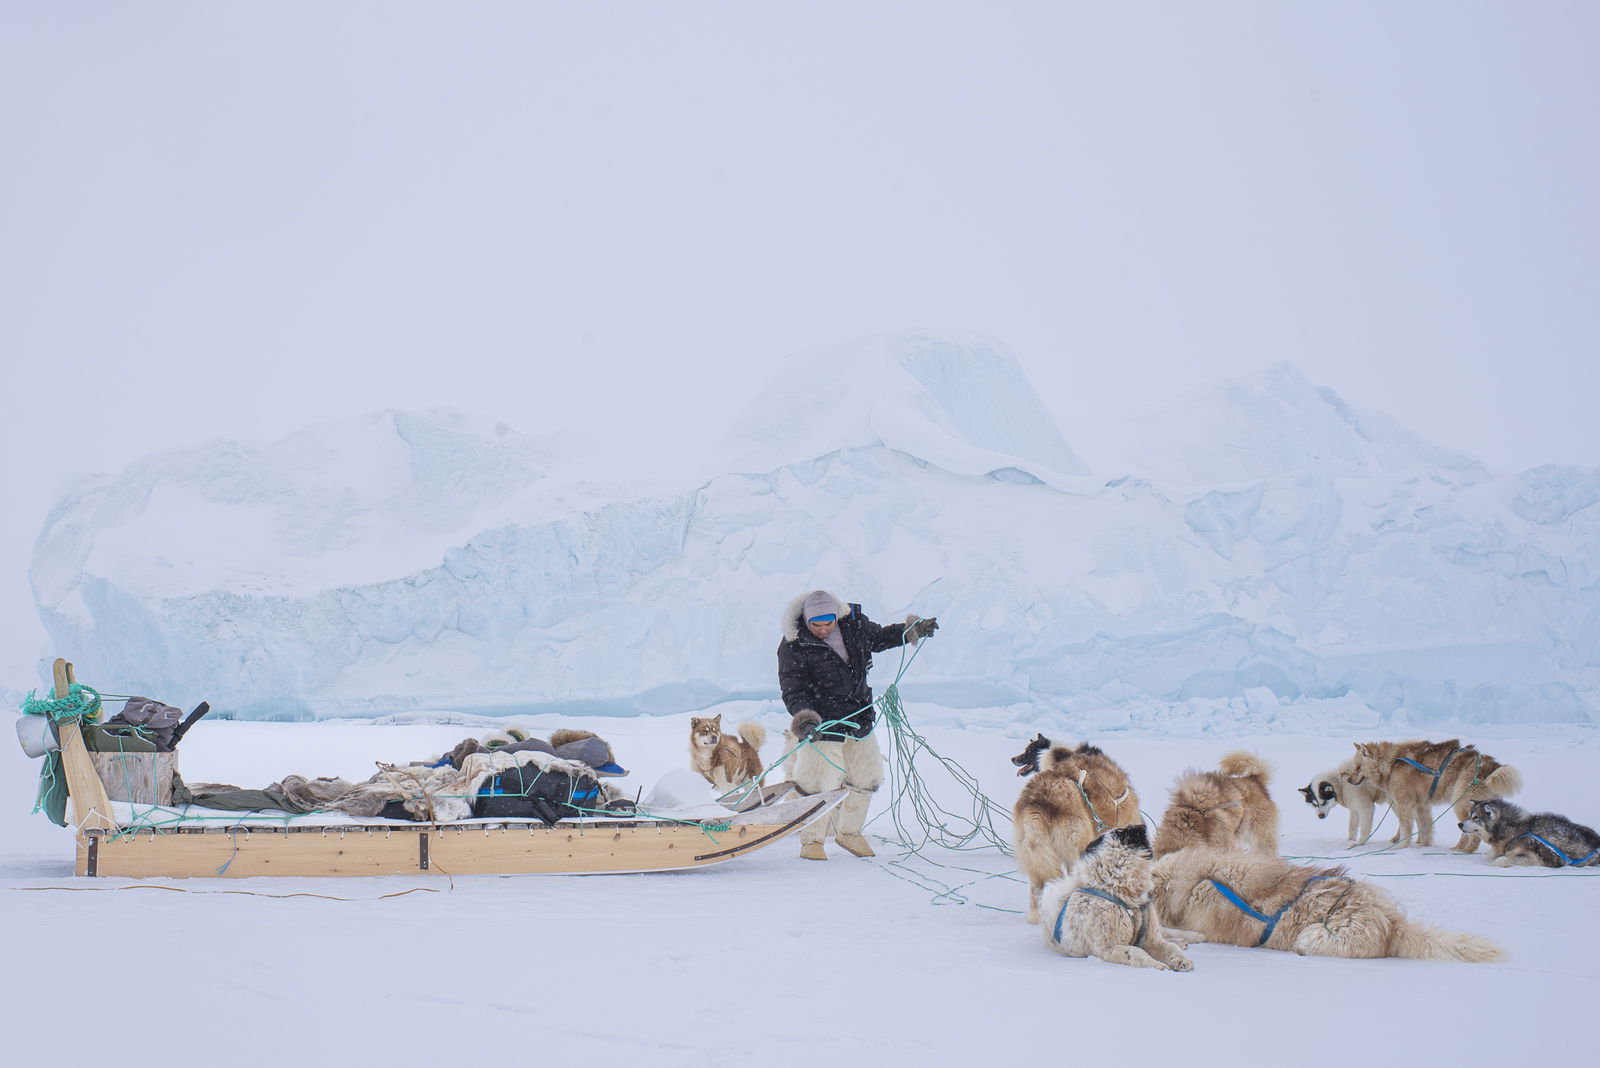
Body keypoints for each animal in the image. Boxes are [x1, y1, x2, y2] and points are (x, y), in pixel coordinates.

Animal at [1036, 824, 1203, 972]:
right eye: (1124, 830)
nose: (1143, 825)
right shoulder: (1107, 948)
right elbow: (1135, 952)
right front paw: (1157, 966)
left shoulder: (1152, 939)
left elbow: (1171, 948)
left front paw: (1181, 960)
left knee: (1168, 934)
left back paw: (1191, 937)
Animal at [1350, 741, 1523, 850]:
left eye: (1358, 767)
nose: (1348, 780)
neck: (1392, 763)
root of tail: (1491, 764)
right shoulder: (1422, 806)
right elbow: (1425, 828)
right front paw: (1424, 845)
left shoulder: (1406, 805)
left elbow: (1406, 828)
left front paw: (1401, 846)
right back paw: (1456, 848)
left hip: (1461, 803)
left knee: (1473, 835)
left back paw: (1464, 851)